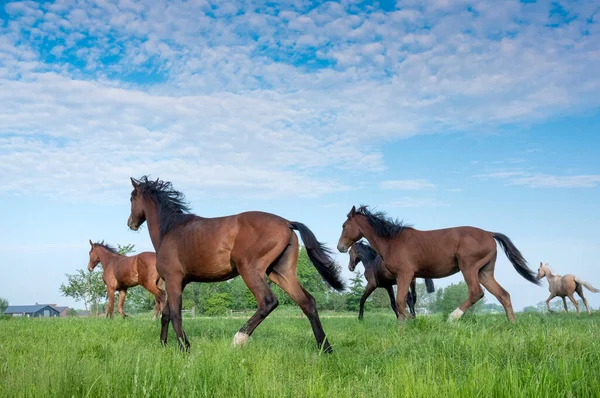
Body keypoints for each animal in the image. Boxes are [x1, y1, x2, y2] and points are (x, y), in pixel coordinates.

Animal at [124, 176, 344, 352]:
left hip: (250, 270)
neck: (170, 229)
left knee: (268, 301)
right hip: (281, 274)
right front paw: (163, 345)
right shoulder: (180, 282)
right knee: (308, 303)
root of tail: (287, 223)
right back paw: (325, 349)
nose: (130, 223)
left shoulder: (173, 280)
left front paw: (185, 348)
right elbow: (167, 314)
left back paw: (238, 339)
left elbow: (175, 314)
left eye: (132, 198)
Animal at [338, 207, 540, 322]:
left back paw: (452, 318)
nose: (340, 247)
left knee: (476, 292)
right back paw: (512, 324)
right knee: (503, 295)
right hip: (484, 272)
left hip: (469, 268)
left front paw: (408, 324)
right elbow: (401, 303)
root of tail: (489, 234)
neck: (392, 241)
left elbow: (401, 302)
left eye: (344, 225)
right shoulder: (401, 279)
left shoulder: (404, 275)